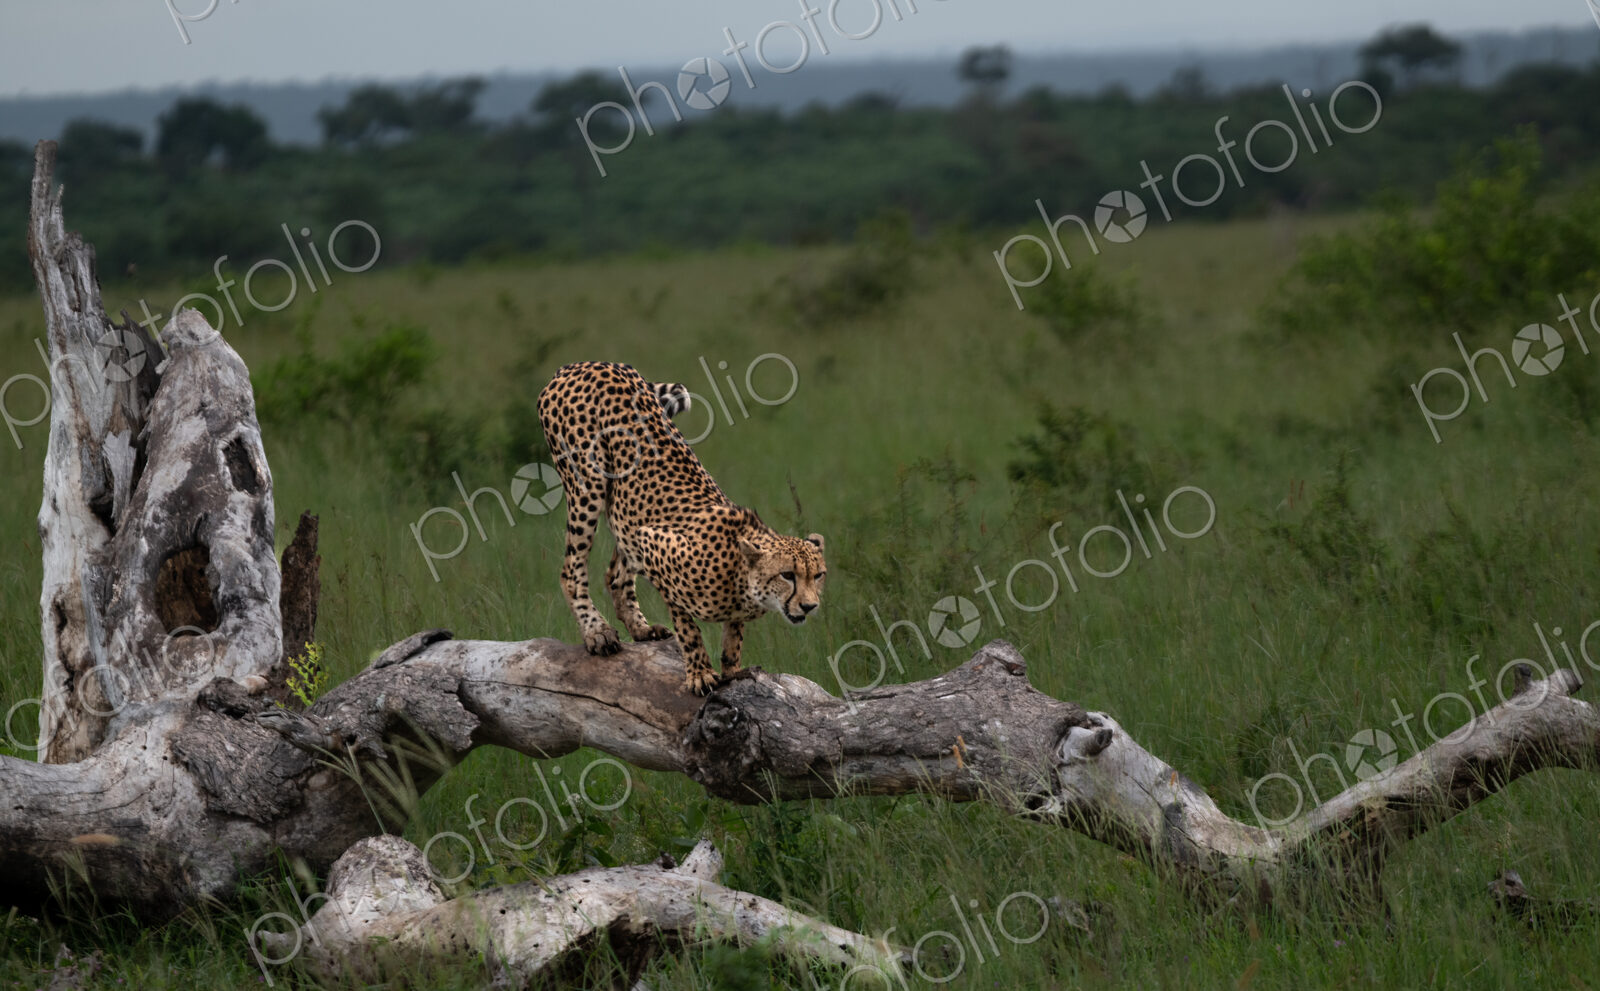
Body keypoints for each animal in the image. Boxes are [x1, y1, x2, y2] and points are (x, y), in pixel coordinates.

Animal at [536, 361, 826, 694]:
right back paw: (597, 632)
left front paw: (733, 668)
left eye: (818, 575)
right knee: (571, 570)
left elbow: (734, 633)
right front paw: (700, 672)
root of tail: (587, 363)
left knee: (615, 573)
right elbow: (687, 625)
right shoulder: (654, 544)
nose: (809, 606)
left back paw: (640, 628)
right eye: (787, 575)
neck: (739, 577)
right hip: (586, 482)